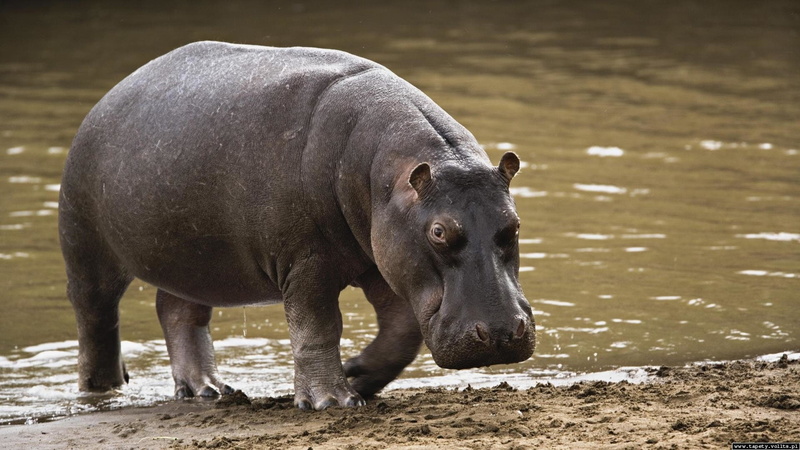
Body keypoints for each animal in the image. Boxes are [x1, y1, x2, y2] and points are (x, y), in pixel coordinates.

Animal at [58, 41, 535, 410]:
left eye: (513, 224)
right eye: (439, 232)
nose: (499, 333)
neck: (385, 175)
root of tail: (108, 96)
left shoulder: (383, 261)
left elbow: (402, 333)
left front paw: (356, 375)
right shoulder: (306, 263)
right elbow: (317, 328)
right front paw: (332, 401)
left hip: (192, 259)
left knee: (177, 311)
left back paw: (207, 390)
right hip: (86, 247)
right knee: (95, 320)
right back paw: (102, 391)